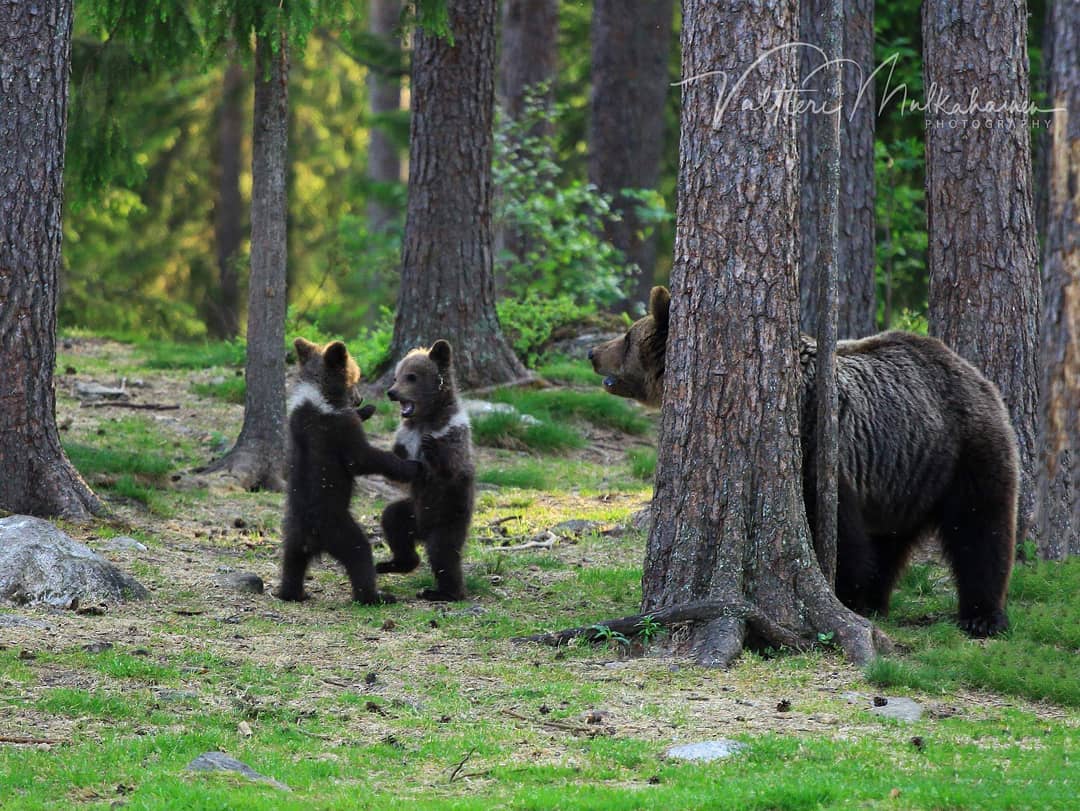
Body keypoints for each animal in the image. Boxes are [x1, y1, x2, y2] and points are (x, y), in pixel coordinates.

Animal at [591, 289, 1019, 639]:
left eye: (627, 336)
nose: (592, 353)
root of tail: (972, 371)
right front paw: (858, 597)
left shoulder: (819, 449)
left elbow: (839, 533)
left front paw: (845, 594)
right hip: (904, 474)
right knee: (891, 541)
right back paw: (879, 599)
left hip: (963, 450)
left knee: (980, 527)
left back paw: (982, 616)